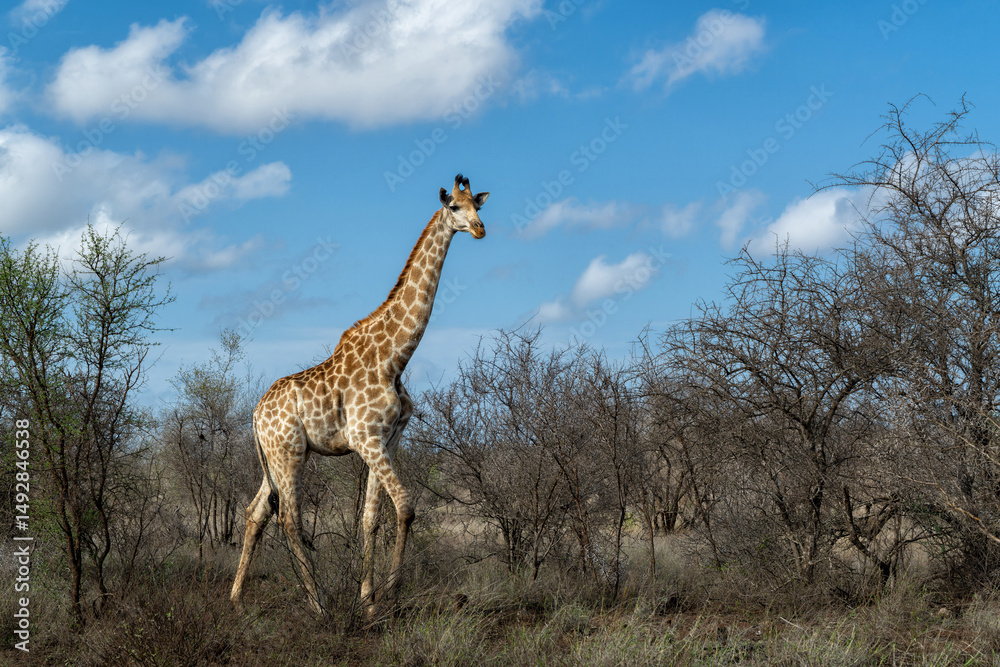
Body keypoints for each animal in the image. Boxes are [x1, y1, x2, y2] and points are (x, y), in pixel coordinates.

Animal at [230, 174, 489, 614]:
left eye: (479, 205)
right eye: (454, 206)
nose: (479, 229)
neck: (394, 357)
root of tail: (255, 413)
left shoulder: (388, 440)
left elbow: (371, 517)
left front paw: (367, 598)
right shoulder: (367, 438)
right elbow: (405, 507)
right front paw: (389, 593)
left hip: (278, 456)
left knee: (256, 511)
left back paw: (235, 597)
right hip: (289, 453)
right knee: (288, 518)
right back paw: (318, 603)